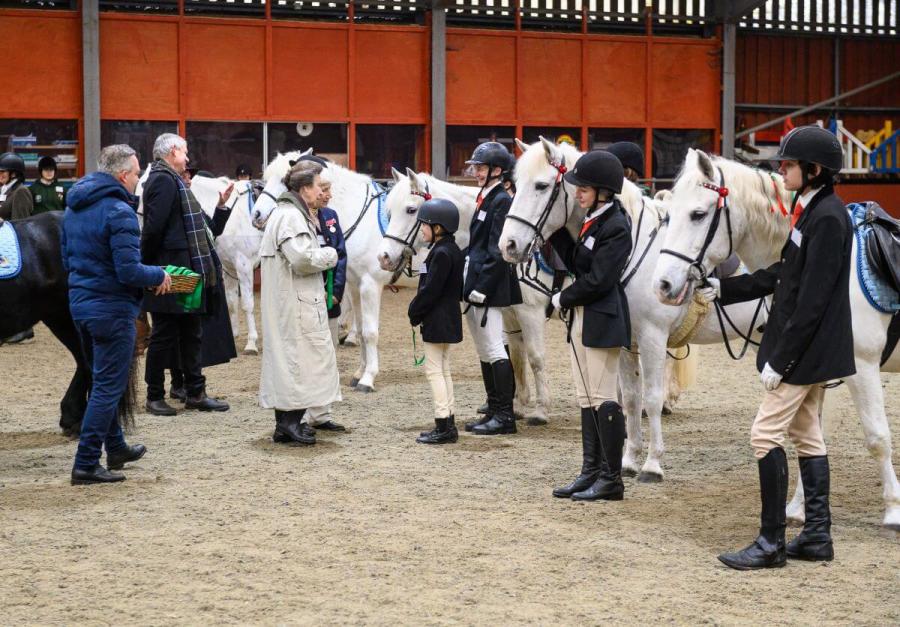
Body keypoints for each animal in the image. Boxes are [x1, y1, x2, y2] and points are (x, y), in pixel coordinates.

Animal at [250, 151, 426, 392]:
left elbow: (370, 333)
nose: (256, 215)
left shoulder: (371, 284)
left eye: (285, 180)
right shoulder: (355, 284)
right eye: (265, 179)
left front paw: (368, 378)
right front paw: (359, 373)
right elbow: (361, 330)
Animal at [372, 168, 556, 422]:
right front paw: (518, 406)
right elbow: (516, 357)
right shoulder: (510, 313)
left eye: (410, 210)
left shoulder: (531, 312)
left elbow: (536, 357)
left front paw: (540, 411)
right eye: (389, 212)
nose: (384, 258)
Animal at [496, 137, 768, 480]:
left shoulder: (651, 337)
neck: (633, 250)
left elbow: (648, 398)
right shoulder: (628, 341)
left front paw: (652, 464)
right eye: (515, 185)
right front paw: (629, 459)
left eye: (542, 185)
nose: (508, 245)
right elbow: (630, 398)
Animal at [652, 147, 900, 528]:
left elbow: (877, 438)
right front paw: (799, 508)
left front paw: (893, 509)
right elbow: (812, 439)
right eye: (668, 214)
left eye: (697, 214)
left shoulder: (863, 368)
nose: (662, 285)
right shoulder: (813, 370)